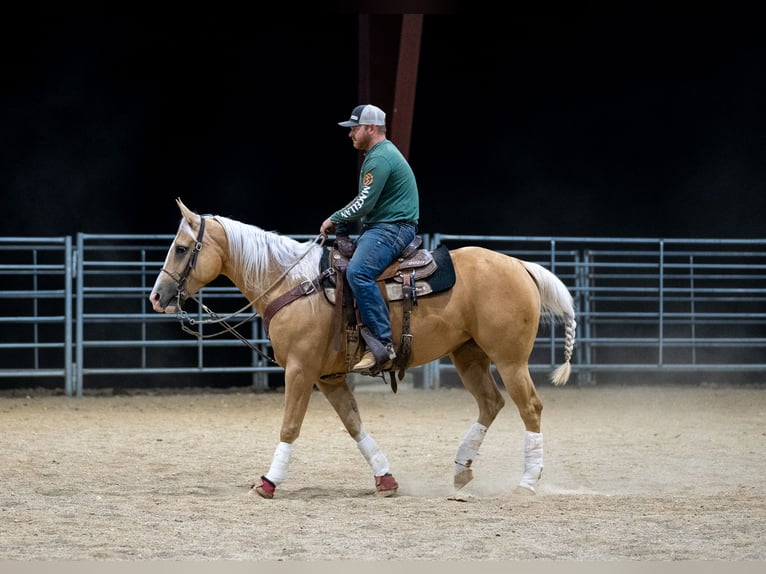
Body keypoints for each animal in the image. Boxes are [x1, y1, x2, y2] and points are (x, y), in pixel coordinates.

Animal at [148, 200, 576, 502]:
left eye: (182, 248)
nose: (157, 296)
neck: (294, 283)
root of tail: (520, 265)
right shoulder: (329, 377)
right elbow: (354, 425)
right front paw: (386, 479)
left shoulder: (300, 371)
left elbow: (290, 425)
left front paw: (267, 483)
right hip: (468, 355)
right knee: (491, 403)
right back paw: (461, 469)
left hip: (510, 359)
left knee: (529, 408)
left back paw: (527, 483)